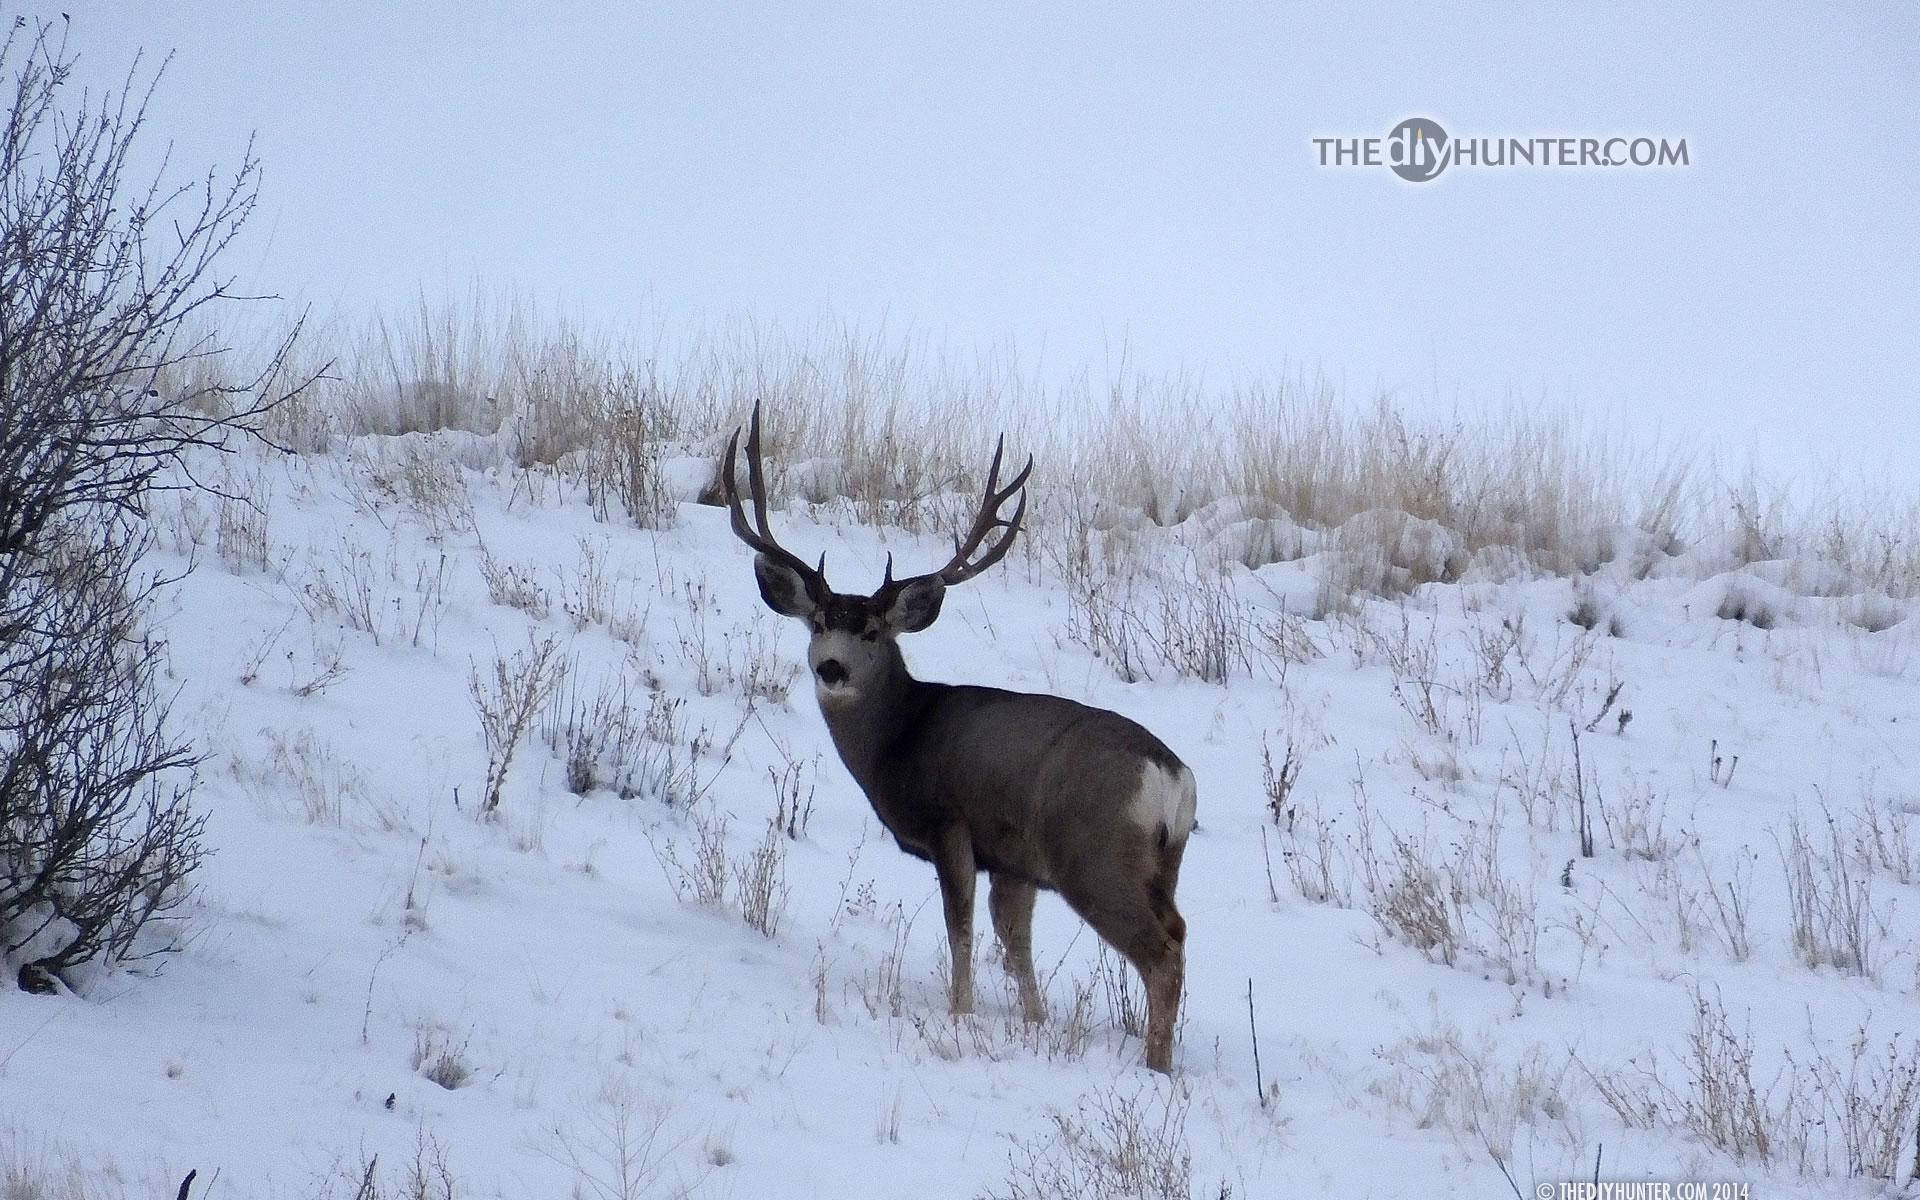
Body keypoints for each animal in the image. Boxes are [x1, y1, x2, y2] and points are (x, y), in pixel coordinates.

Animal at [722, 405, 1196, 1072]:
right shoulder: (1015, 861)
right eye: (817, 623)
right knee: (1177, 932)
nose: (831, 668)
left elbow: (961, 927)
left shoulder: (951, 823)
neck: (902, 736)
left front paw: (961, 1013)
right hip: (1162, 863)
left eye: (871, 632)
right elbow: (1015, 943)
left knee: (1161, 951)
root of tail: (1171, 777)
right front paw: (1034, 1022)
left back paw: (1155, 1068)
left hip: (1094, 855)